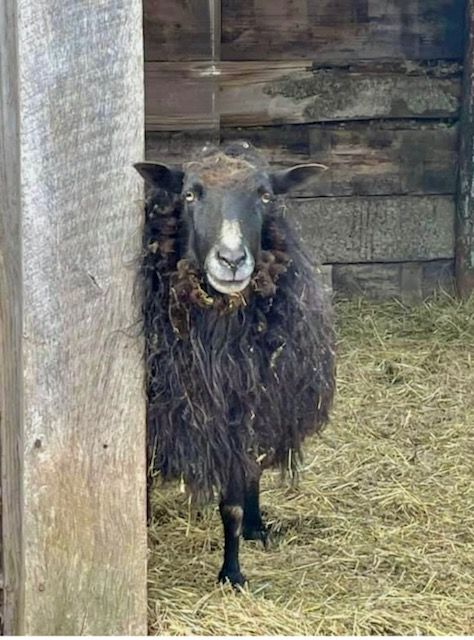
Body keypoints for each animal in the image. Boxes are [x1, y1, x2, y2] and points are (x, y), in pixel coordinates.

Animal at [135, 141, 335, 587]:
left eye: (265, 195)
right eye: (189, 194)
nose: (231, 260)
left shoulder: (239, 410)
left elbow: (233, 503)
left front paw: (232, 573)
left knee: (253, 470)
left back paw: (256, 528)